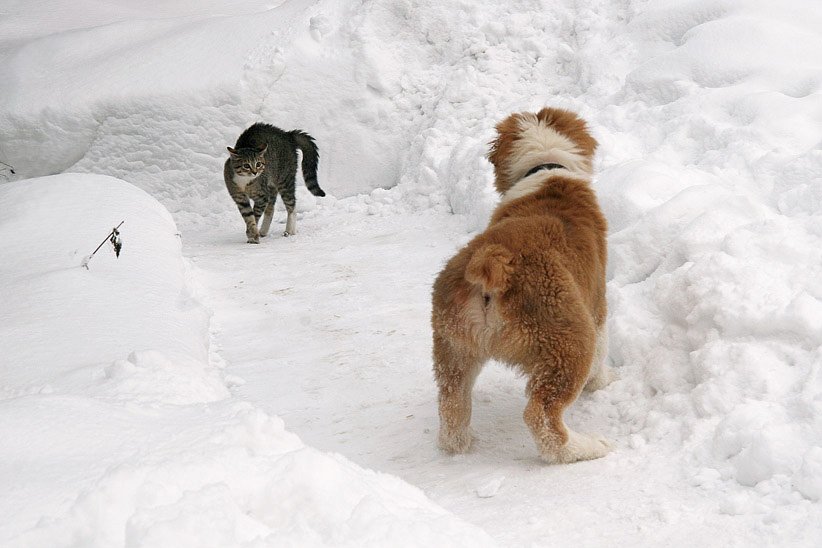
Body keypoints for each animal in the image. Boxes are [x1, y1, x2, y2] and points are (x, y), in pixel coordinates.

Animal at [434, 107, 616, 462]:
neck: (545, 167)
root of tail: (494, 264)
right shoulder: (597, 302)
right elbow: (603, 349)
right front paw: (601, 382)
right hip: (568, 342)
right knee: (541, 418)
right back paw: (586, 447)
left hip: (453, 346)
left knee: (451, 405)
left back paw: (461, 443)